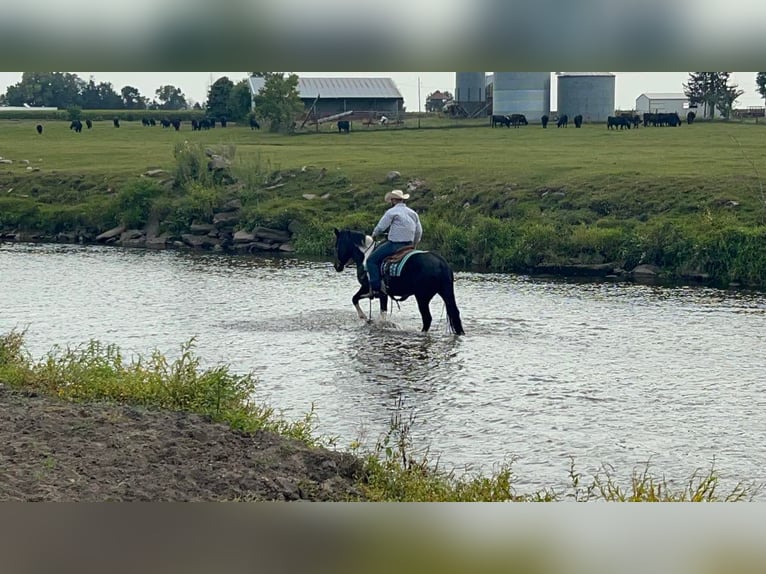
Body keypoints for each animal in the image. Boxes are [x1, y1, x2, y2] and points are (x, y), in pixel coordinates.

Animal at [332, 230, 464, 338]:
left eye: (337, 246)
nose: (337, 266)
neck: (365, 255)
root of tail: (441, 263)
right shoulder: (378, 292)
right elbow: (359, 300)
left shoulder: (373, 290)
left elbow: (359, 300)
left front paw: (364, 317)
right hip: (446, 292)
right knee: (455, 313)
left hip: (422, 297)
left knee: (427, 318)